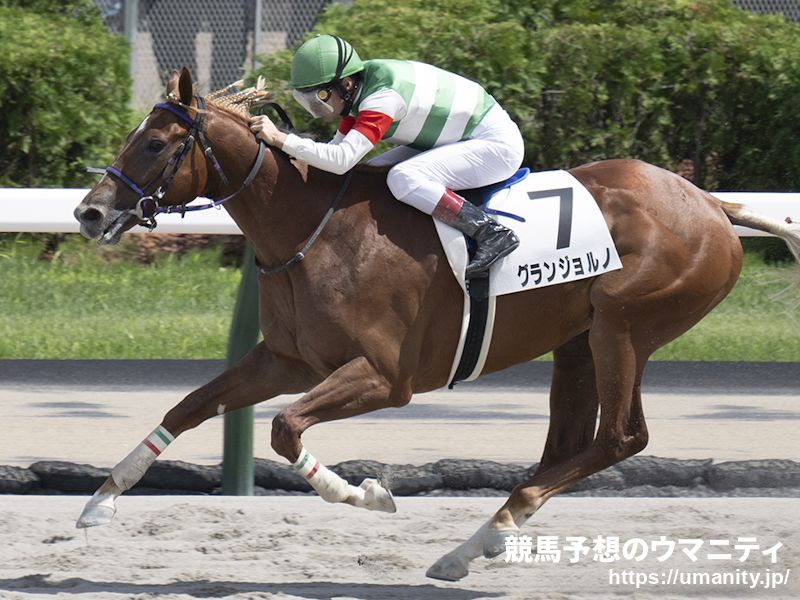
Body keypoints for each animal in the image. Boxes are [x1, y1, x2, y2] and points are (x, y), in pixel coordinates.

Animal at [73, 67, 800, 580]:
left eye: (156, 143)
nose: (88, 211)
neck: (313, 230)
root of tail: (708, 201)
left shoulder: (384, 376)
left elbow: (284, 429)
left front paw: (368, 494)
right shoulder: (286, 359)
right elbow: (191, 405)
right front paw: (100, 500)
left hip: (624, 327)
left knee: (622, 437)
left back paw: (489, 532)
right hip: (576, 341)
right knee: (569, 445)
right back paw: (480, 541)